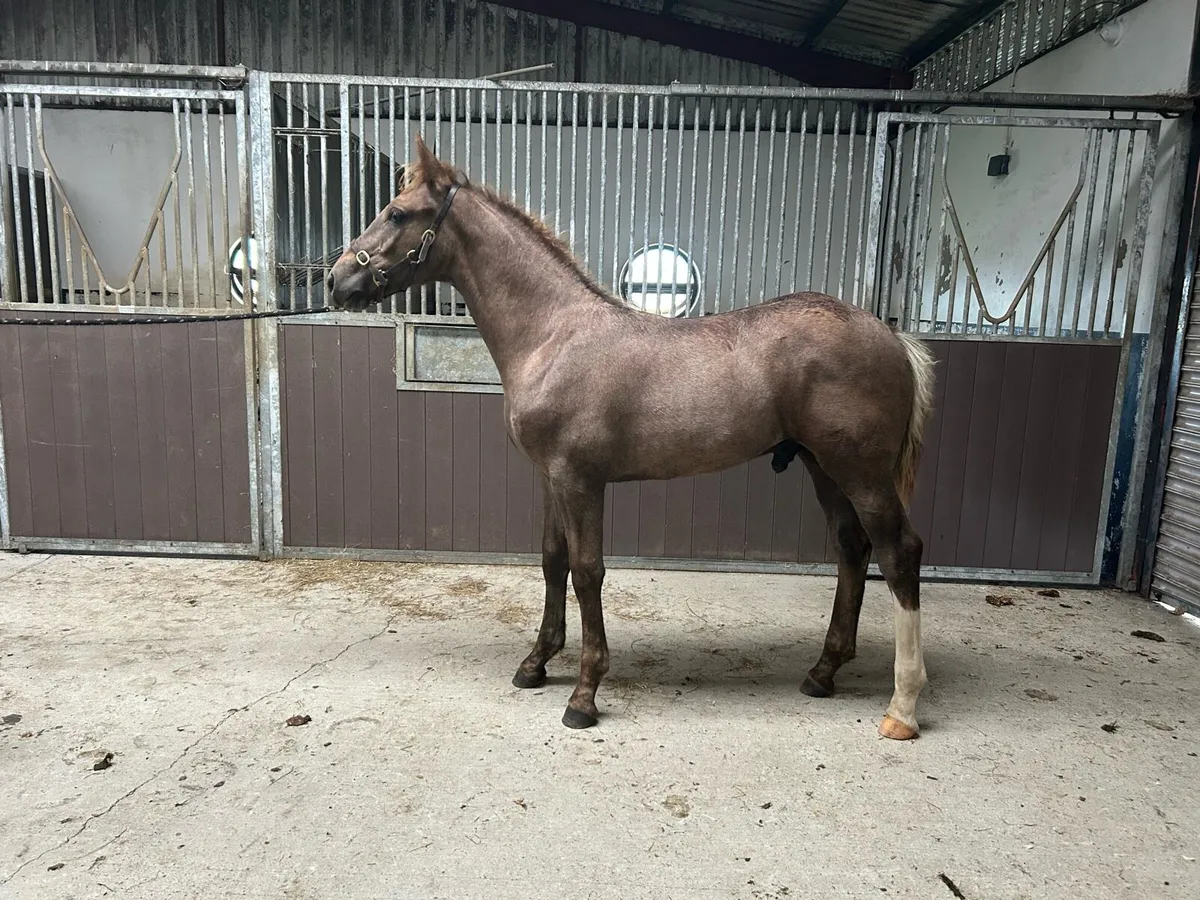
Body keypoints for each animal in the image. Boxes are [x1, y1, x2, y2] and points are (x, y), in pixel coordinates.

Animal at [327, 136, 937, 741]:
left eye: (396, 213)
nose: (336, 280)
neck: (554, 335)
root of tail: (890, 335)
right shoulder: (551, 478)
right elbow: (552, 561)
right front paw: (536, 663)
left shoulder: (580, 481)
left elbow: (587, 572)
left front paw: (583, 694)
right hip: (823, 467)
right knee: (853, 549)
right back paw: (823, 671)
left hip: (861, 472)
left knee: (899, 552)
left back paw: (902, 706)